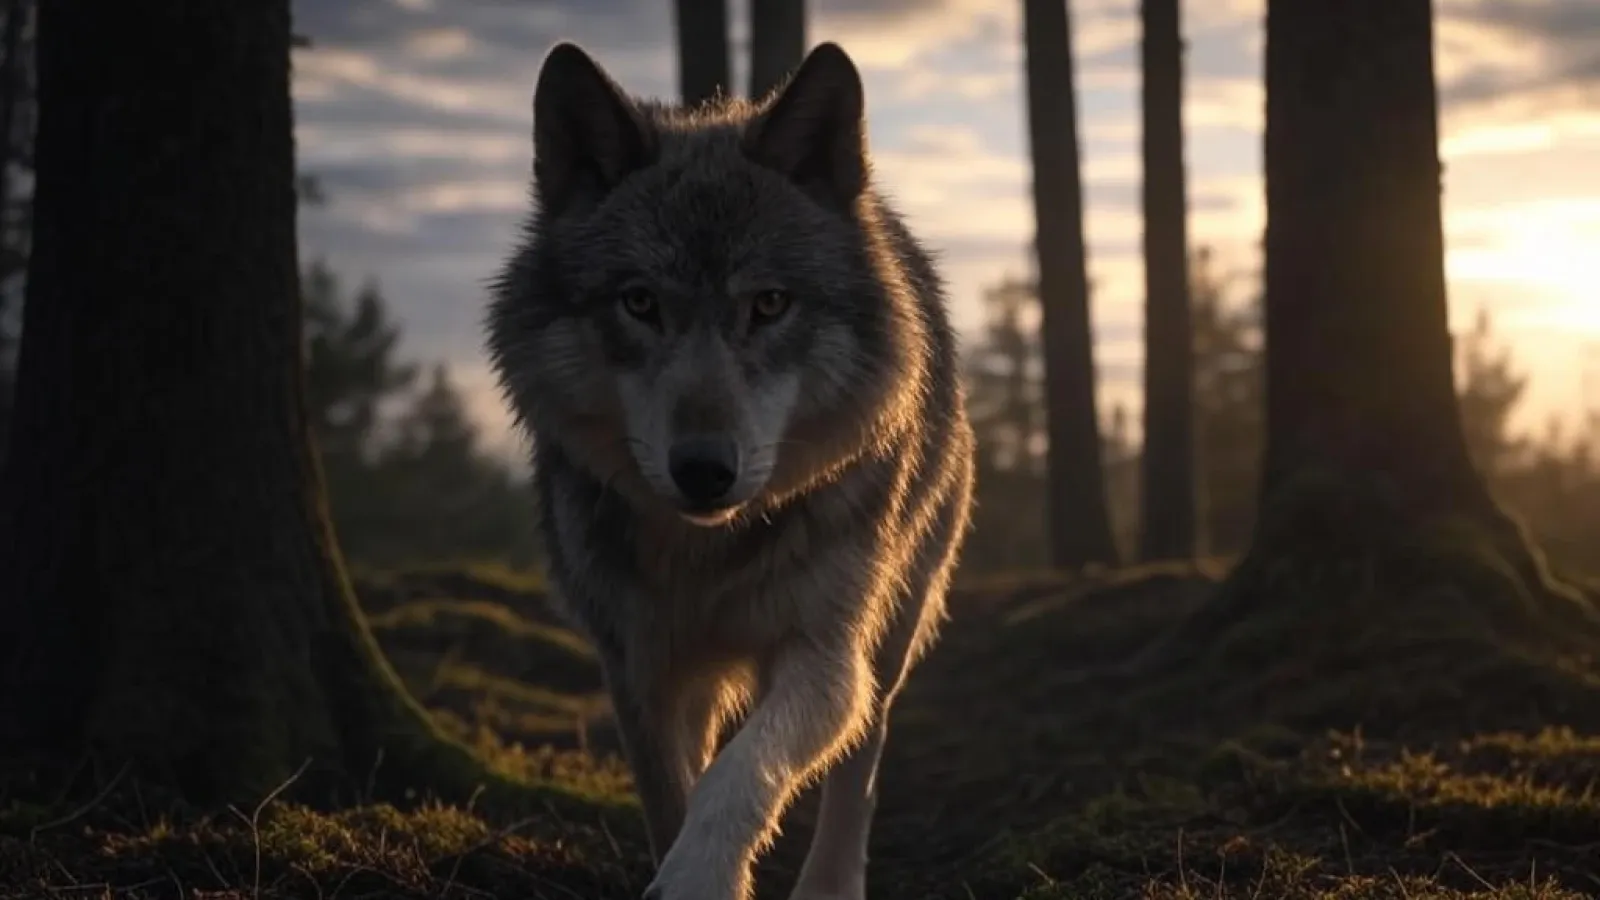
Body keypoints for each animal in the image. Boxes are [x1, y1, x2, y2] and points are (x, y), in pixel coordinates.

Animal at [486, 39, 976, 900]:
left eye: (770, 304)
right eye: (640, 302)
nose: (704, 470)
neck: (707, 552)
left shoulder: (824, 654)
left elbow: (742, 775)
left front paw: (700, 874)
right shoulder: (639, 666)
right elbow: (672, 797)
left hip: (891, 627)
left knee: (863, 759)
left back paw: (832, 881)